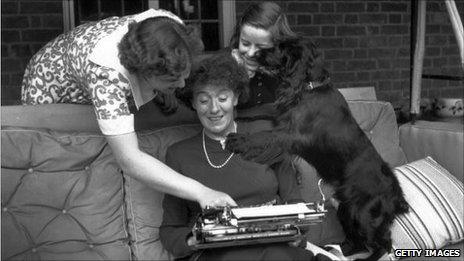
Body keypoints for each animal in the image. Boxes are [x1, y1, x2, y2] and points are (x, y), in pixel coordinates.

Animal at [227, 39, 408, 260]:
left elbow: (265, 135)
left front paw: (239, 141)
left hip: (364, 214)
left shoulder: (293, 134)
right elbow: (259, 109)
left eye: (280, 48)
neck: (310, 88)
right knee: (358, 241)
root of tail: (396, 195)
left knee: (384, 244)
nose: (256, 53)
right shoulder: (281, 113)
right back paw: (337, 250)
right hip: (346, 209)